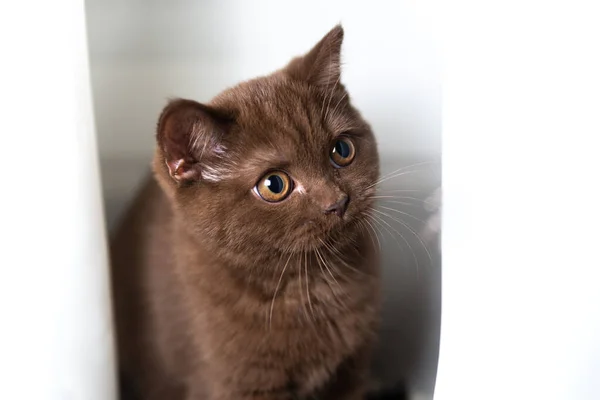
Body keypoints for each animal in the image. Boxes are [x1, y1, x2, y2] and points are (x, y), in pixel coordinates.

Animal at [112, 25, 396, 400]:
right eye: (274, 185)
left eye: (342, 150)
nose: (338, 201)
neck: (309, 282)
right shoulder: (236, 384)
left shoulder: (351, 371)